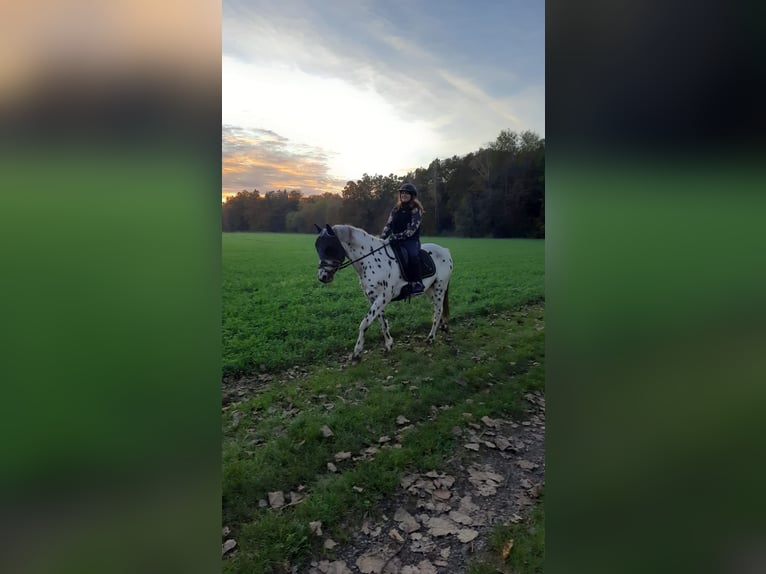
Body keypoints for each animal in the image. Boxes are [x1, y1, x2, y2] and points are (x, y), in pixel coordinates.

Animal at [318, 225, 456, 360]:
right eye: (318, 248)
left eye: (330, 248)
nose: (322, 277)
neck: (371, 260)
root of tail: (445, 250)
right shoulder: (373, 298)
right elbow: (382, 322)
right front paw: (388, 345)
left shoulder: (383, 297)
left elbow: (364, 323)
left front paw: (357, 352)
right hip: (430, 290)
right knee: (439, 309)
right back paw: (443, 327)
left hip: (439, 288)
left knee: (438, 311)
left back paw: (431, 338)